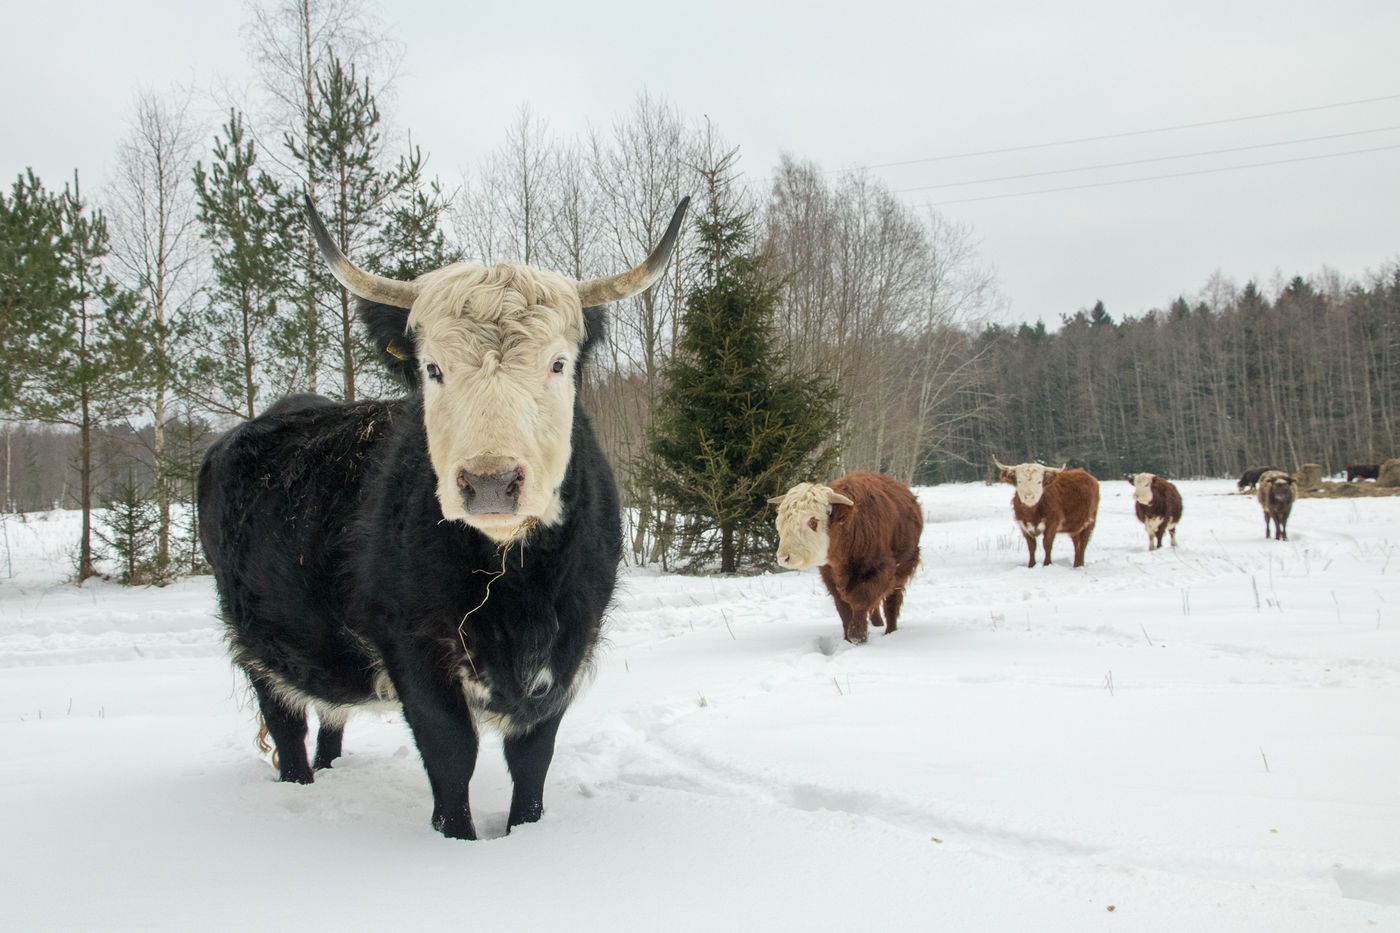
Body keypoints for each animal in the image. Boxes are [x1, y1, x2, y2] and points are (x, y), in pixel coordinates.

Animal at [200, 194, 691, 834]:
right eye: (433, 369)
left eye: (557, 364)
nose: (490, 482)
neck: (513, 581)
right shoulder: (411, 645)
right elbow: (451, 751)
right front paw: (455, 838)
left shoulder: (569, 644)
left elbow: (532, 757)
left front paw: (525, 832)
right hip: (259, 646)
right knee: (287, 726)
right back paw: (301, 786)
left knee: (329, 720)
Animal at [772, 467, 924, 644]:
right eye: (780, 522)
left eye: (813, 522)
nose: (784, 558)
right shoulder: (829, 574)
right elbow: (843, 607)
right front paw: (847, 639)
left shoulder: (881, 570)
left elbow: (860, 600)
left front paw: (858, 636)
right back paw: (877, 623)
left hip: (903, 569)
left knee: (892, 600)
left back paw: (890, 631)